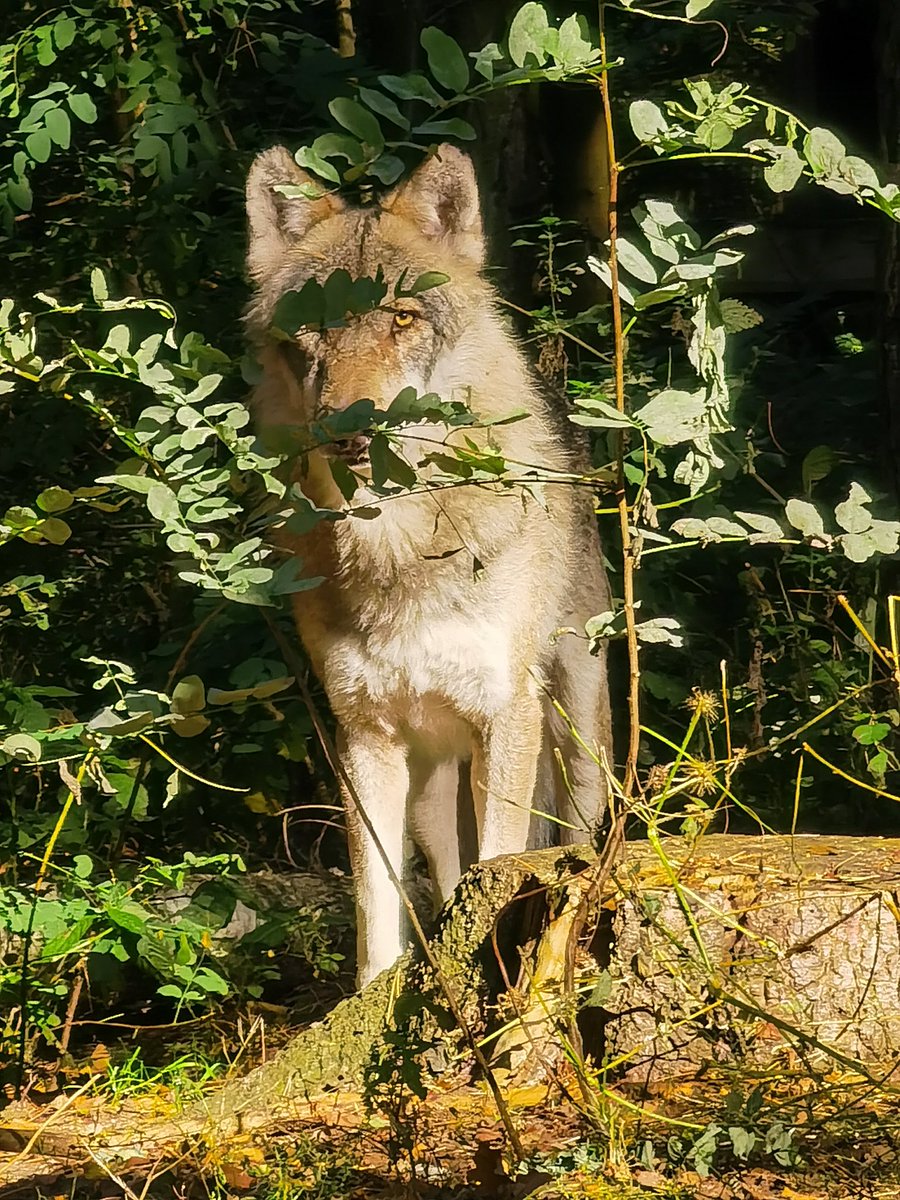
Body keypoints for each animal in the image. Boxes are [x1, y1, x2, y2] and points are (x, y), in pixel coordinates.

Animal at [245, 143, 613, 987]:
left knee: (562, 848)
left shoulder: (504, 717)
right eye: (314, 328)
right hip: (427, 790)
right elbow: (375, 908)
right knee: (445, 880)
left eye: (402, 319)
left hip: (576, 743)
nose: (349, 430)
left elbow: (503, 864)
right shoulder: (364, 738)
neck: (399, 550)